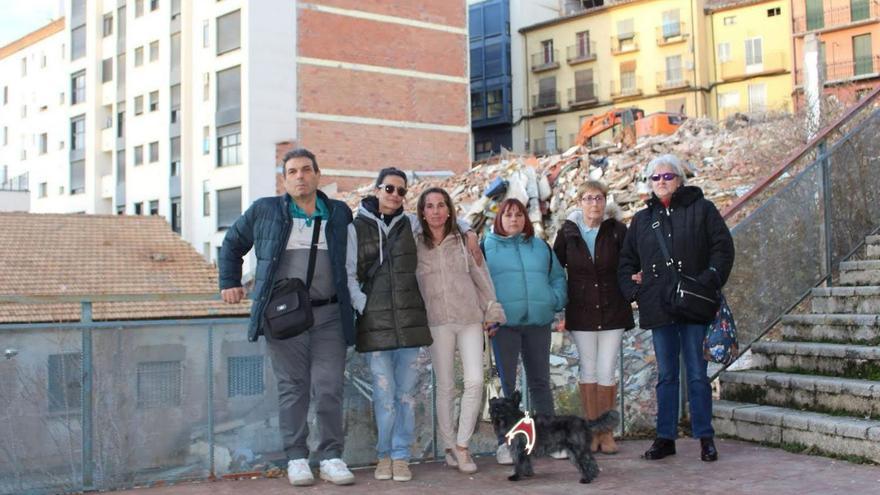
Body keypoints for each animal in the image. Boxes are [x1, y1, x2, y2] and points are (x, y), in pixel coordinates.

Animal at [488, 392, 620, 484]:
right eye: (494, 405)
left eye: (505, 405)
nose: (495, 410)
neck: (513, 419)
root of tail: (584, 422)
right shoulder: (525, 451)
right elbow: (526, 462)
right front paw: (528, 473)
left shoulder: (518, 449)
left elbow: (518, 463)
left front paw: (516, 476)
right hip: (577, 450)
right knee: (592, 462)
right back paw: (592, 476)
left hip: (577, 451)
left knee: (587, 462)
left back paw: (586, 479)